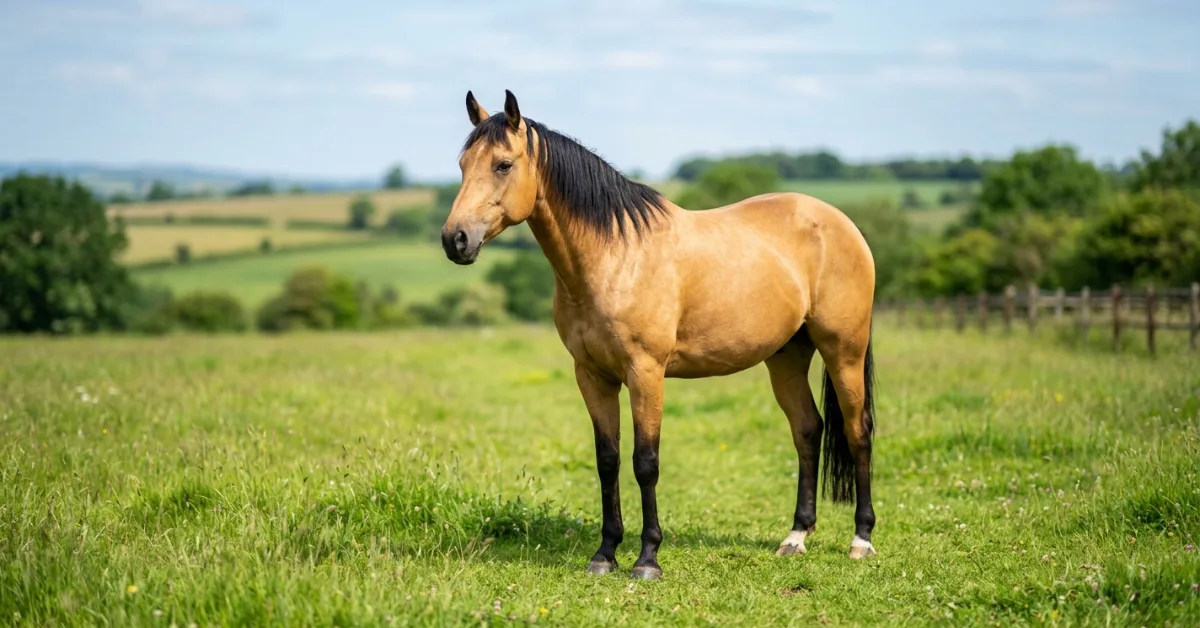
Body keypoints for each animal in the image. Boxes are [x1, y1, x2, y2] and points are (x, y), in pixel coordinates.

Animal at [440, 90, 878, 580]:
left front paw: (647, 558)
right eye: (463, 164)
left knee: (858, 430)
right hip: (786, 356)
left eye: (502, 165)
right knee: (807, 429)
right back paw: (796, 536)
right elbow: (608, 461)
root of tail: (839, 222)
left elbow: (644, 462)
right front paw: (605, 553)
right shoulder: (592, 375)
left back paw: (861, 539)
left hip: (844, 350)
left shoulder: (645, 372)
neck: (614, 255)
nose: (455, 239)